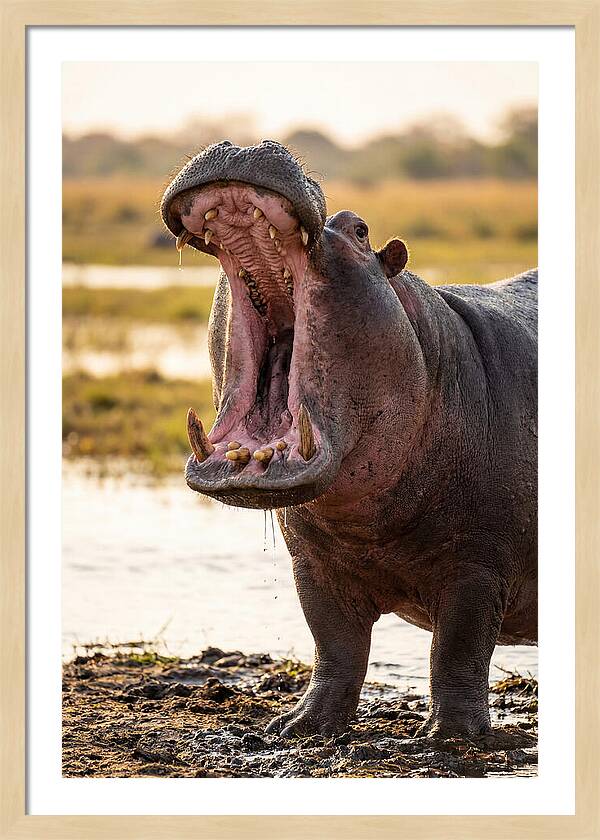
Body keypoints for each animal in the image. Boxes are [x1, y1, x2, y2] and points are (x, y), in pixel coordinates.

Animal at [161, 140, 537, 739]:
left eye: (360, 230)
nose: (244, 144)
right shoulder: (312, 564)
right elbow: (334, 643)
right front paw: (300, 726)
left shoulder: (479, 566)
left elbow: (459, 649)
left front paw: (452, 737)